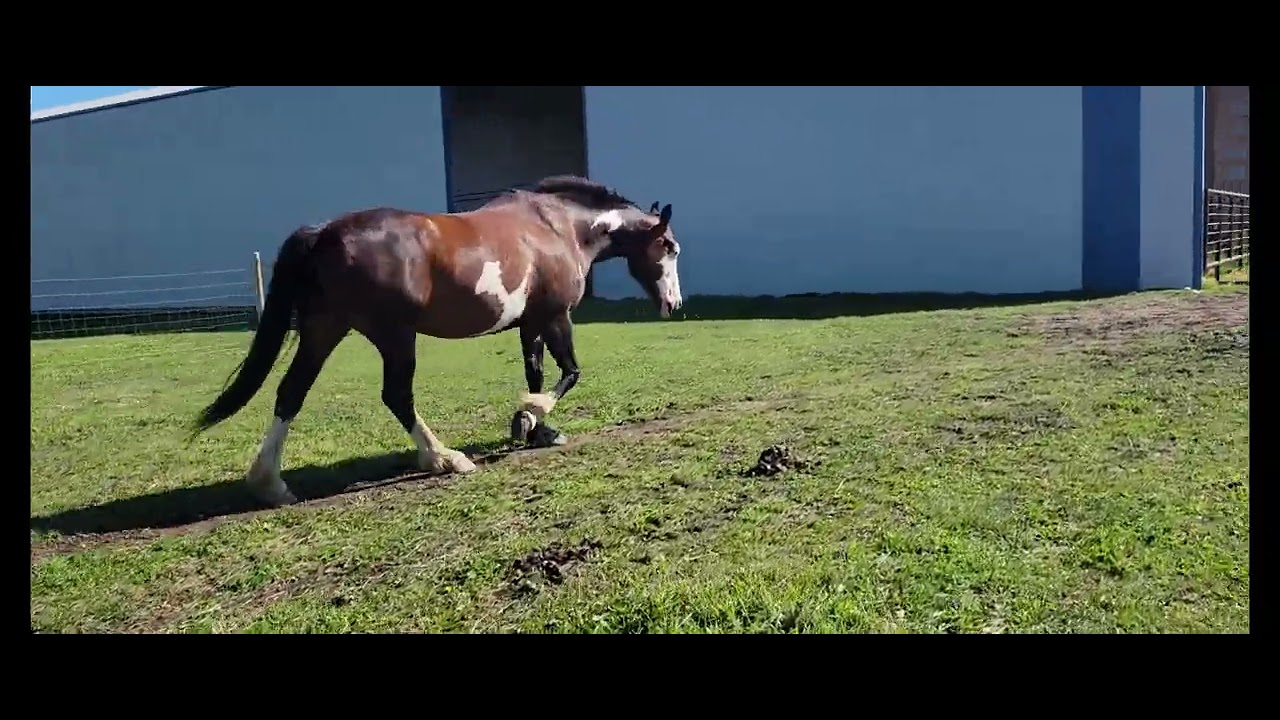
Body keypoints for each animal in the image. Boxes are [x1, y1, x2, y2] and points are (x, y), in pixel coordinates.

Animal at [190, 175, 684, 508]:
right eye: (670, 248)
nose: (674, 304)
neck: (558, 227)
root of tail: (323, 233)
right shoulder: (555, 316)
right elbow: (569, 372)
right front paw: (531, 415)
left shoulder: (530, 323)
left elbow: (536, 371)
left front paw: (535, 429)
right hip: (394, 335)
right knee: (396, 395)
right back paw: (444, 458)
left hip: (324, 329)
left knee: (291, 391)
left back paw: (271, 484)